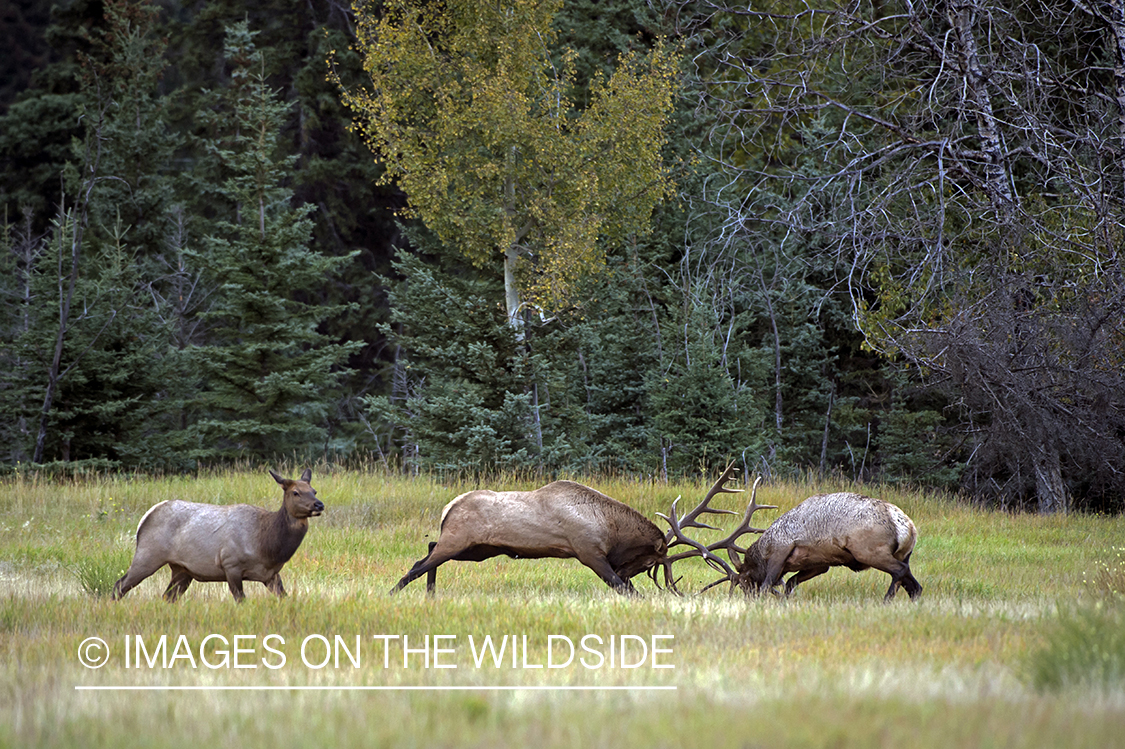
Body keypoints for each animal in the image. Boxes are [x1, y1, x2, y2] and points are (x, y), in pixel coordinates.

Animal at [111, 467, 324, 602]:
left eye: (313, 490)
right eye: (295, 492)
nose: (319, 504)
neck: (267, 546)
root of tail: (144, 520)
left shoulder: (271, 575)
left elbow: (285, 598)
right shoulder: (231, 565)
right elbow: (241, 600)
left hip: (181, 569)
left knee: (167, 596)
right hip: (148, 555)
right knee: (120, 585)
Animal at [391, 479, 666, 593]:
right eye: (650, 563)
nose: (625, 571)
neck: (610, 528)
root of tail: (448, 508)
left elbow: (624, 587)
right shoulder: (589, 552)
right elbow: (622, 588)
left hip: (476, 549)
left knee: (430, 547)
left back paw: (430, 593)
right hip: (458, 540)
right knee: (418, 565)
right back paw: (393, 593)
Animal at [657, 461, 922, 602]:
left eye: (744, 581)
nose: (747, 598)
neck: (763, 548)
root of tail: (906, 525)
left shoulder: (781, 550)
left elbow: (769, 583)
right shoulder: (819, 563)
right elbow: (791, 583)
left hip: (868, 550)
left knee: (900, 572)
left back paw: (886, 600)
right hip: (902, 554)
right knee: (914, 585)